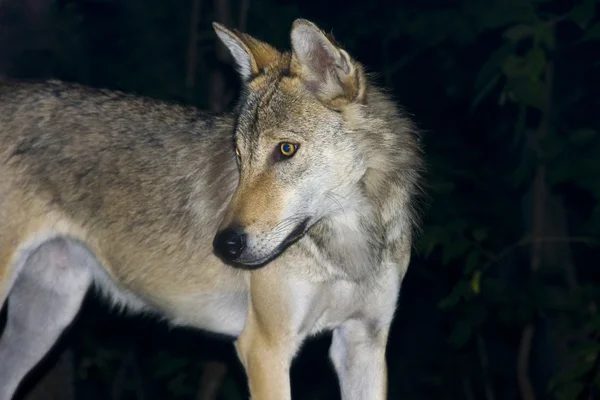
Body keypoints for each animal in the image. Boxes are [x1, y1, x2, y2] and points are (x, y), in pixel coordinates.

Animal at [0, 18, 422, 400]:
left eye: (285, 150)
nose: (224, 246)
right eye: (239, 156)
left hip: (45, 320)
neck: (348, 246)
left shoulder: (363, 343)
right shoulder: (265, 348)